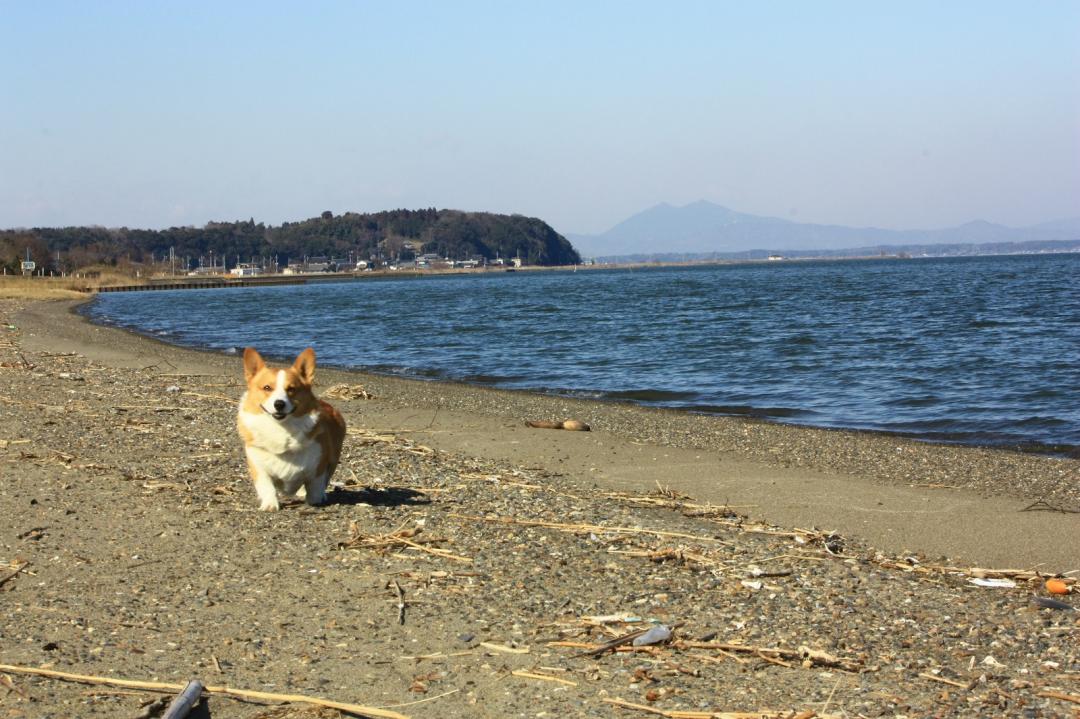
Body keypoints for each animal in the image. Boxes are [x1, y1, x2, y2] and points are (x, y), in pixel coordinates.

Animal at [236, 347, 345, 509]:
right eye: (267, 387)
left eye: (291, 389)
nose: (279, 404)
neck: (280, 428)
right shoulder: (258, 467)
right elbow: (267, 486)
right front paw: (270, 505)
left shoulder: (318, 467)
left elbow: (315, 486)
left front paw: (315, 500)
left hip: (333, 459)